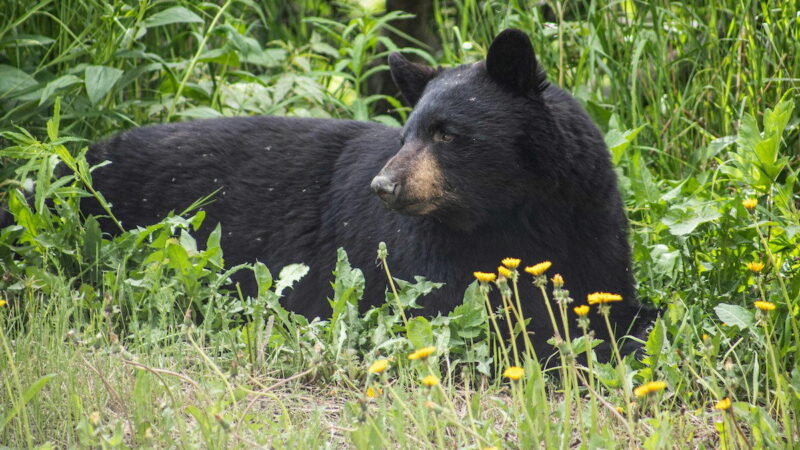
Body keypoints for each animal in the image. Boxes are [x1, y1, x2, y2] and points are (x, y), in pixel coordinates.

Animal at [84, 29, 652, 358]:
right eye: (407, 135)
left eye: (447, 134)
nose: (383, 185)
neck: (513, 214)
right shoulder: (420, 260)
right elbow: (473, 317)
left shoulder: (589, 220)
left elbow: (609, 297)